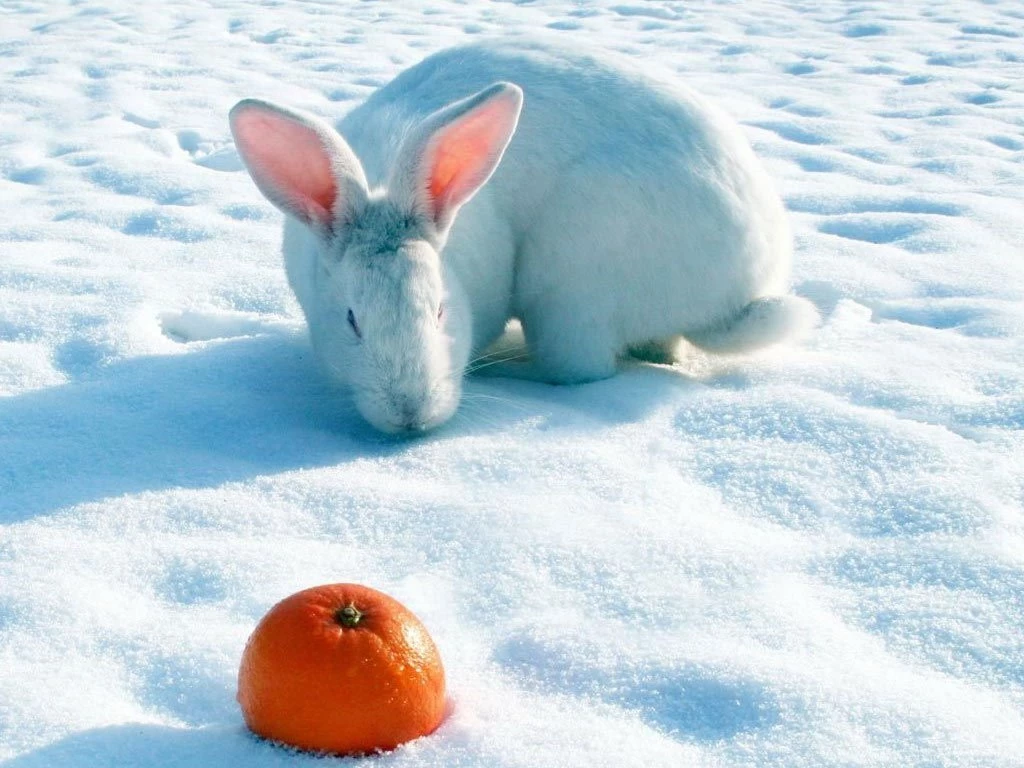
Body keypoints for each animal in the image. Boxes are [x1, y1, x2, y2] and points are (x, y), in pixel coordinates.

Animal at [230, 39, 818, 434]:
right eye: (352, 320)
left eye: (440, 310)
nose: (410, 414)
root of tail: (732, 299)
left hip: (573, 287)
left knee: (581, 369)